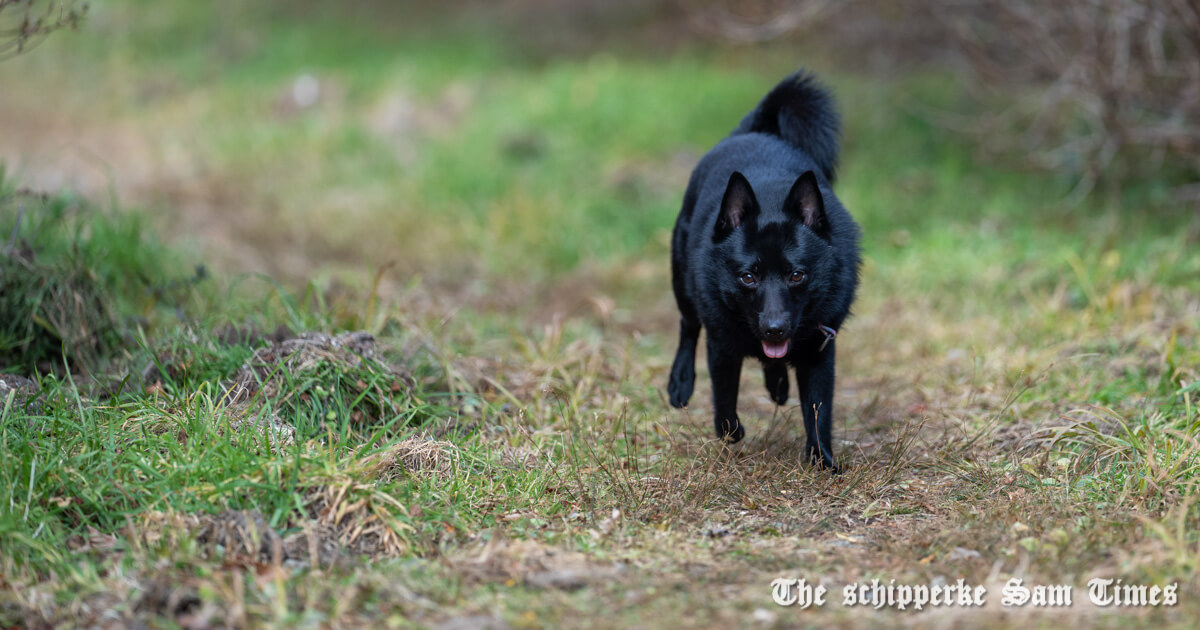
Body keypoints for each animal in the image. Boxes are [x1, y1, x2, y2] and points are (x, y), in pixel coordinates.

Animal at [667, 71, 864, 468]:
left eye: (797, 275)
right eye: (748, 277)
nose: (774, 329)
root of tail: (756, 129)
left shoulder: (819, 350)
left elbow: (818, 410)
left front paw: (822, 461)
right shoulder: (721, 345)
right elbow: (724, 402)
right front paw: (732, 431)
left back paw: (777, 384)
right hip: (681, 279)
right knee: (687, 326)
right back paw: (680, 383)